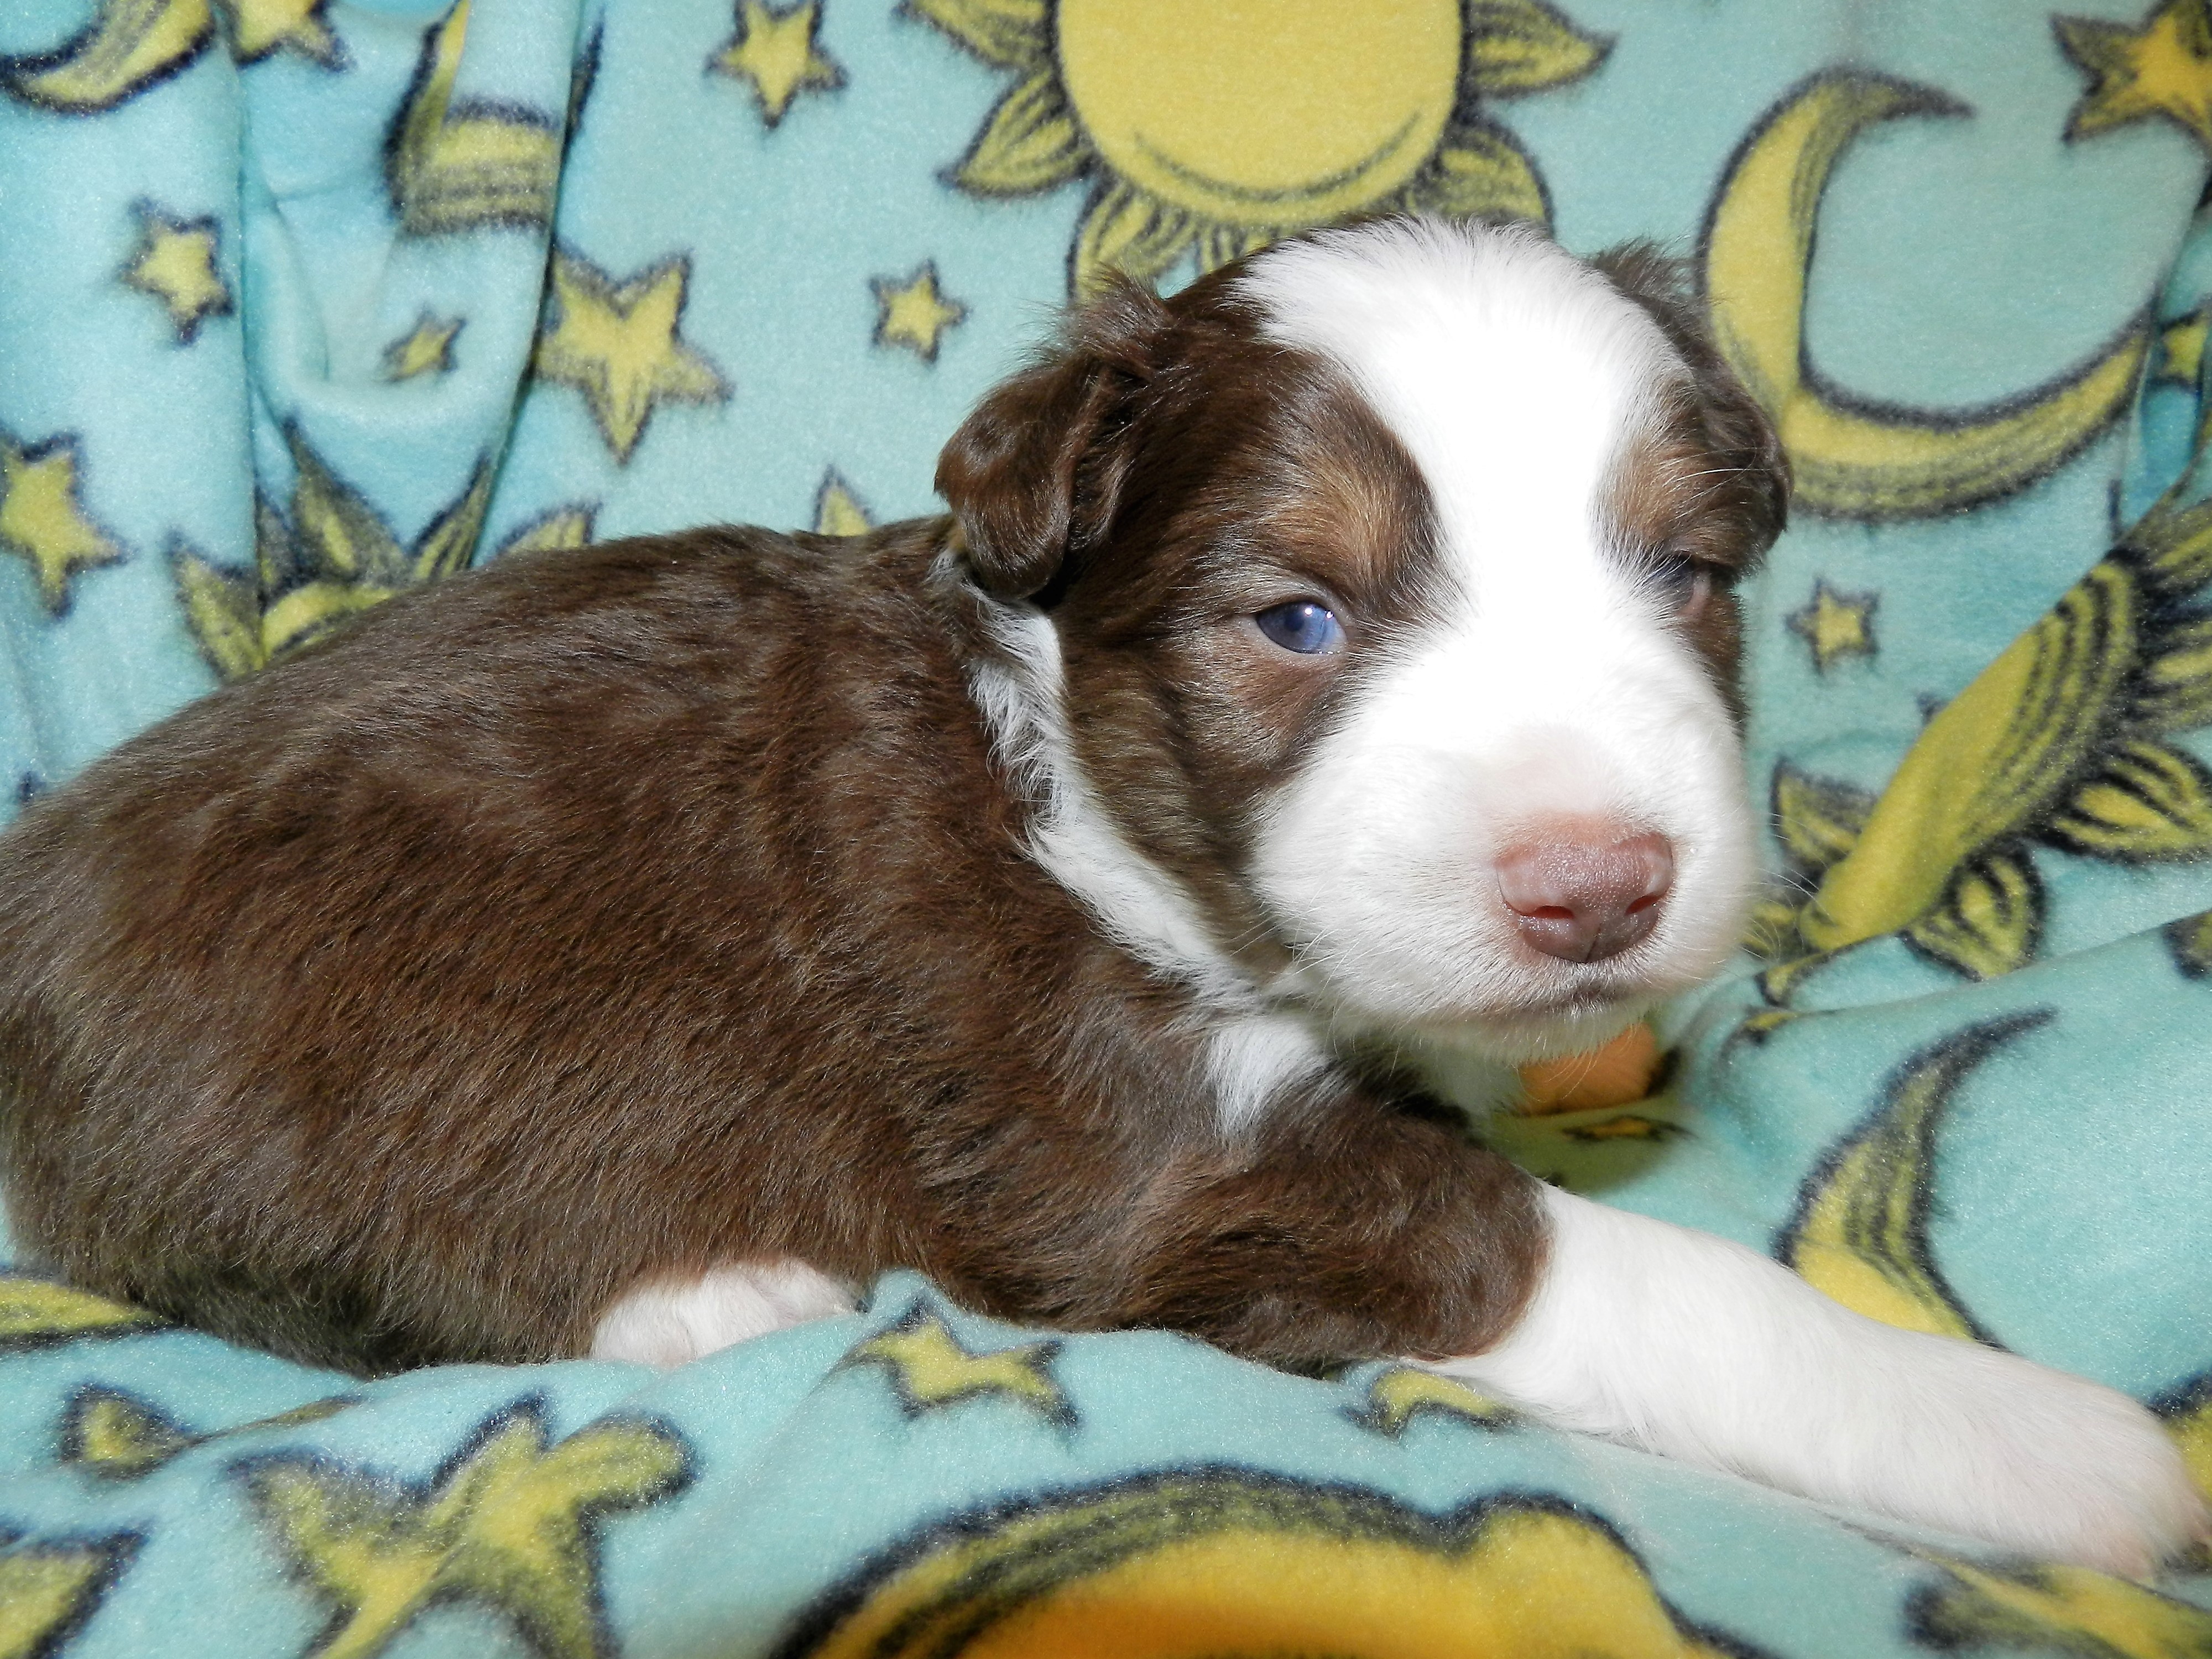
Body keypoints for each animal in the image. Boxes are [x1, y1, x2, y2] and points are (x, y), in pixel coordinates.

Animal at [0, 217, 2198, 1572]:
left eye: (1685, 576)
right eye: (1295, 617)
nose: (1595, 889)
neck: (1103, 808)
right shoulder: (1147, 1164)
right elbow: (1614, 1269)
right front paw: (2041, 1443)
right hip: (362, 992)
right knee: (306, 1257)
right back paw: (709, 1298)